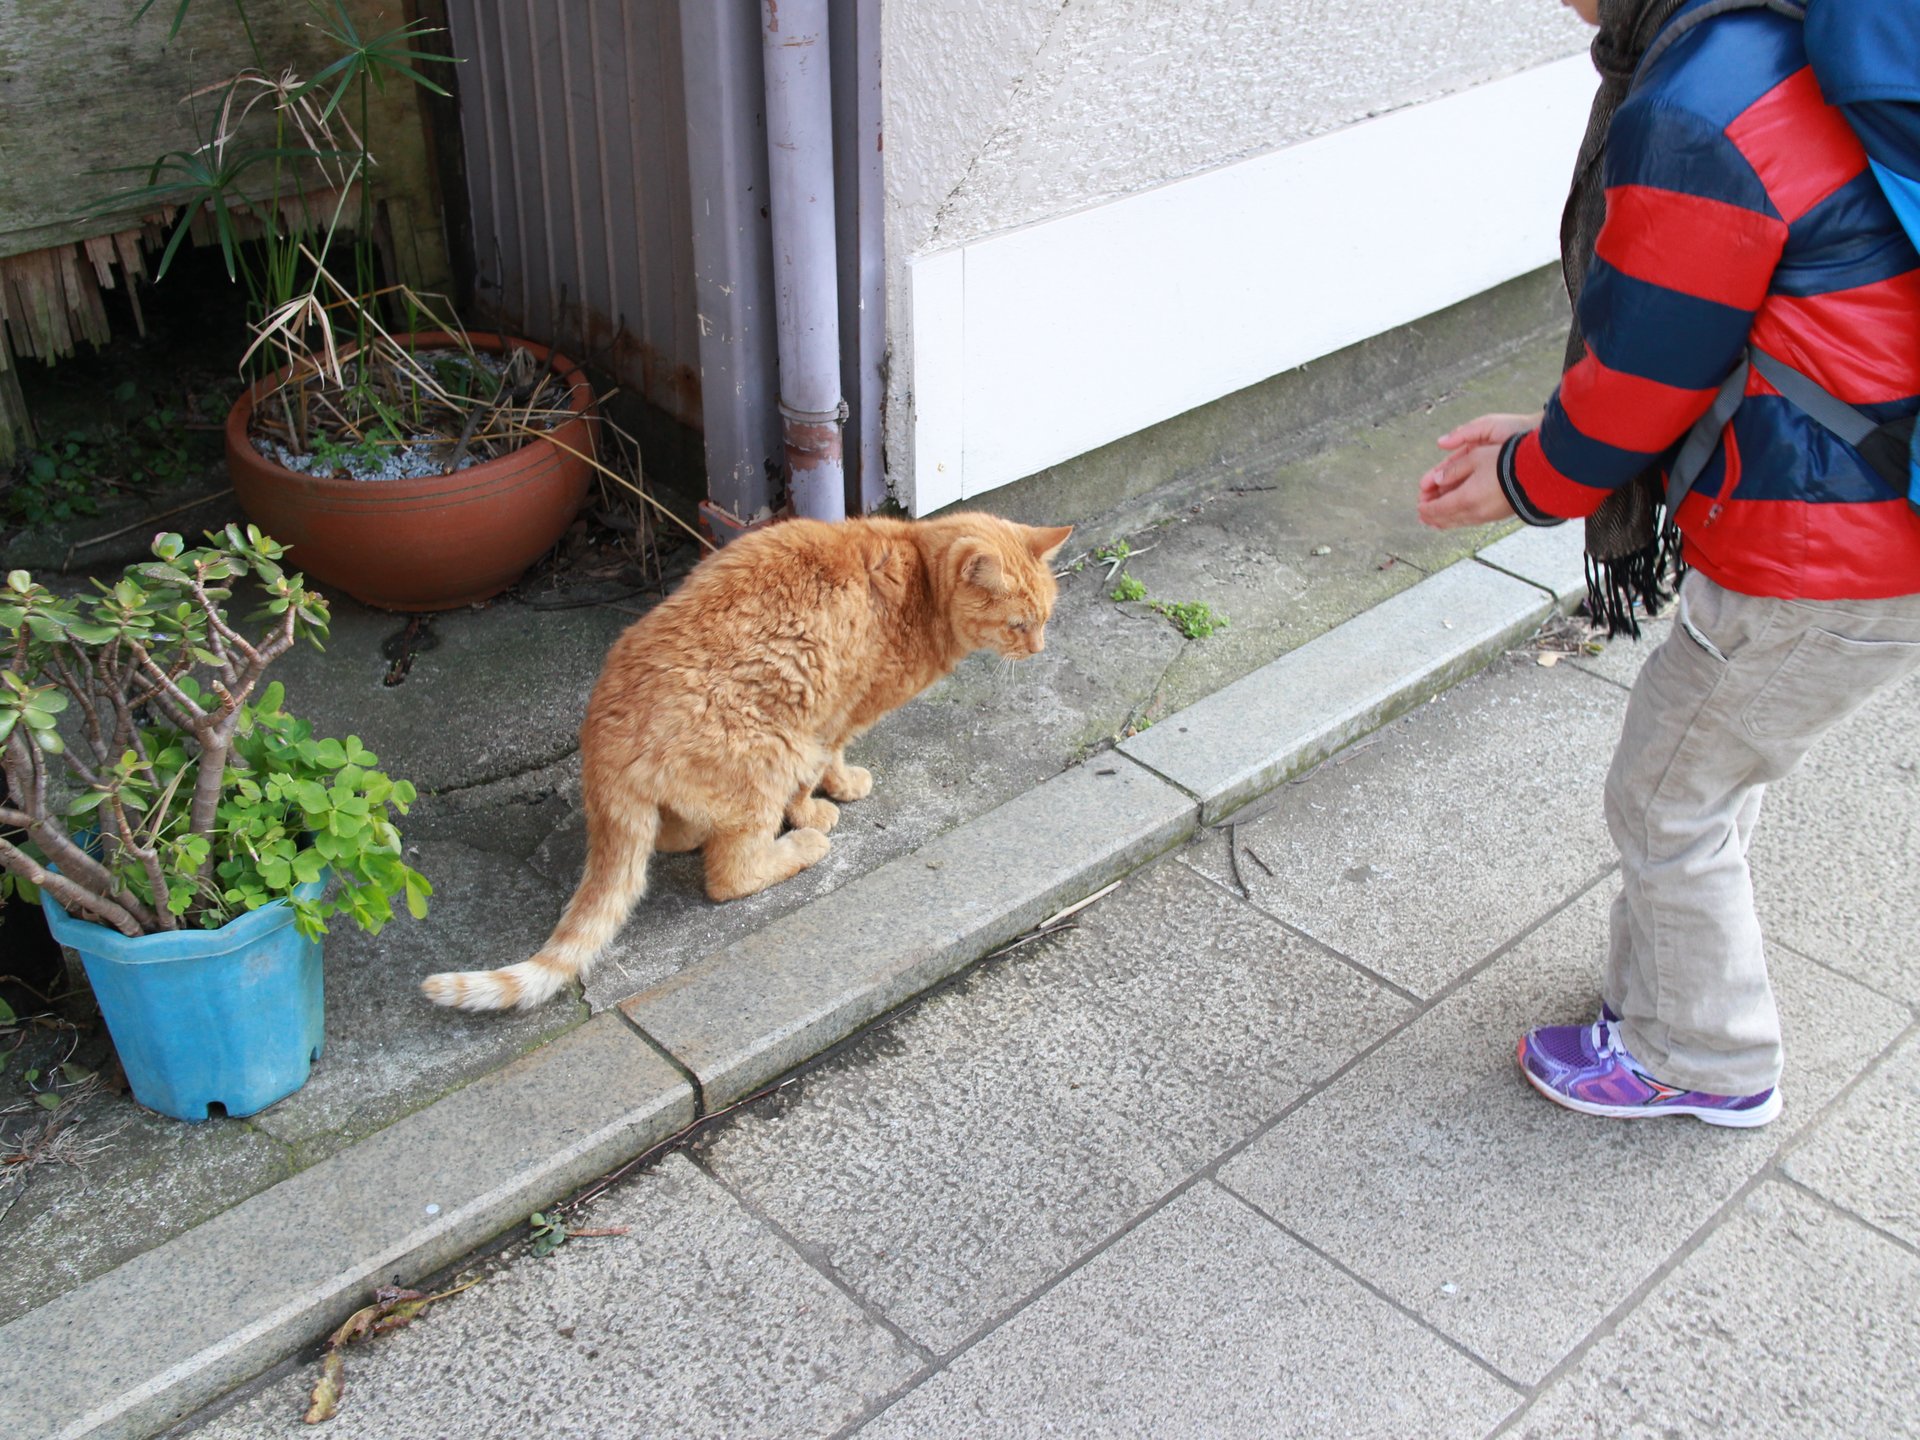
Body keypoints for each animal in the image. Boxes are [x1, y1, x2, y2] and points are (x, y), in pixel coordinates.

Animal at [422, 514, 1075, 1013]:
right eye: (1019, 624)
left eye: (1046, 618)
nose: (1040, 649)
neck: (918, 576)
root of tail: (601, 737)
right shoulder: (832, 717)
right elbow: (825, 767)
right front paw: (826, 802)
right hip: (768, 759)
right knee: (730, 874)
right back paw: (800, 845)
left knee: (670, 839)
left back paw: (687, 830)